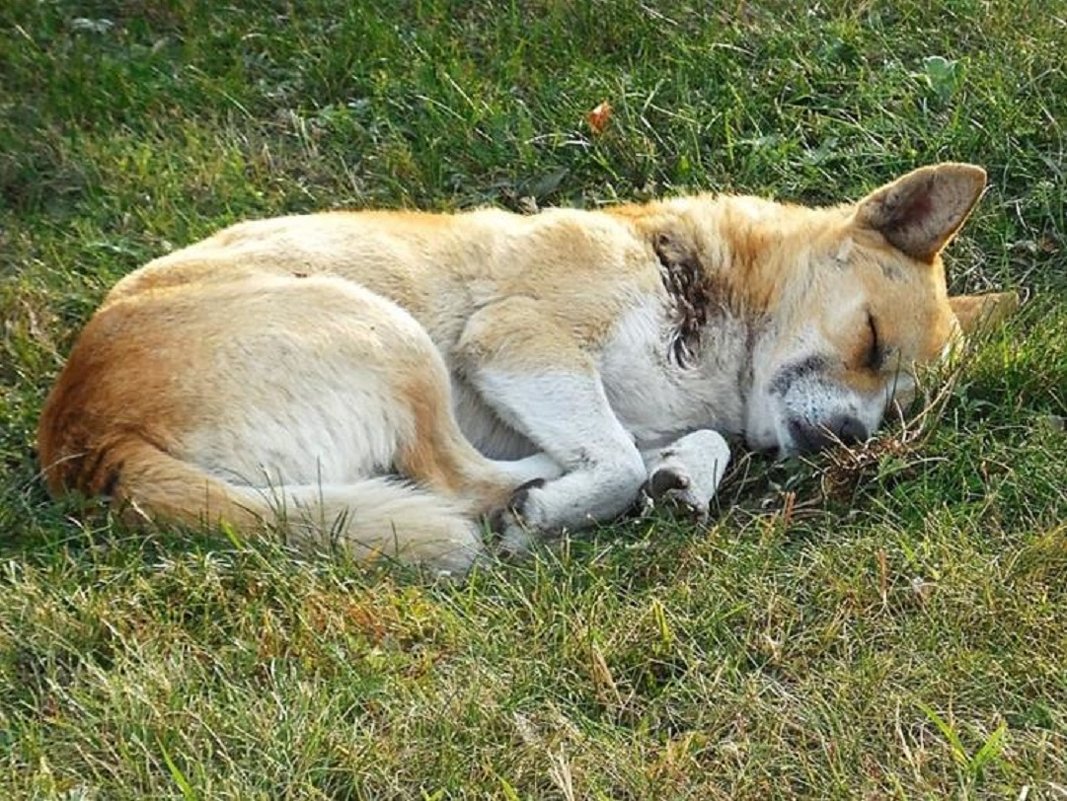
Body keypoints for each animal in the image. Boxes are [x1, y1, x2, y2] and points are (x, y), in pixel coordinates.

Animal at [35, 164, 1015, 571]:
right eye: (871, 343)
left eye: (897, 408)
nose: (848, 440)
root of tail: (88, 443)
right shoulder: (515, 340)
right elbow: (611, 455)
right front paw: (580, 494)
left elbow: (689, 440)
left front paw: (682, 472)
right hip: (391, 333)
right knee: (453, 479)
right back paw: (535, 491)